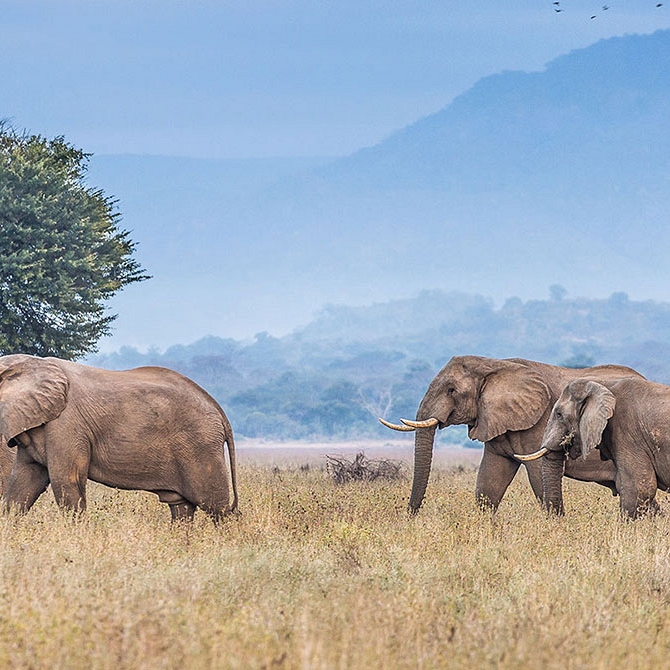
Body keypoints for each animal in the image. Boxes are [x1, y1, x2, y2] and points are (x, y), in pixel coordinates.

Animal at [0, 354, 239, 524]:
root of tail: (219, 412)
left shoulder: (66, 425)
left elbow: (66, 481)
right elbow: (23, 484)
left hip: (201, 446)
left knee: (216, 507)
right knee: (182, 507)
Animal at [380, 356, 644, 516]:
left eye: (451, 390)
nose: (410, 515)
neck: (494, 365)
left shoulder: (538, 422)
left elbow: (539, 479)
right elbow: (488, 485)